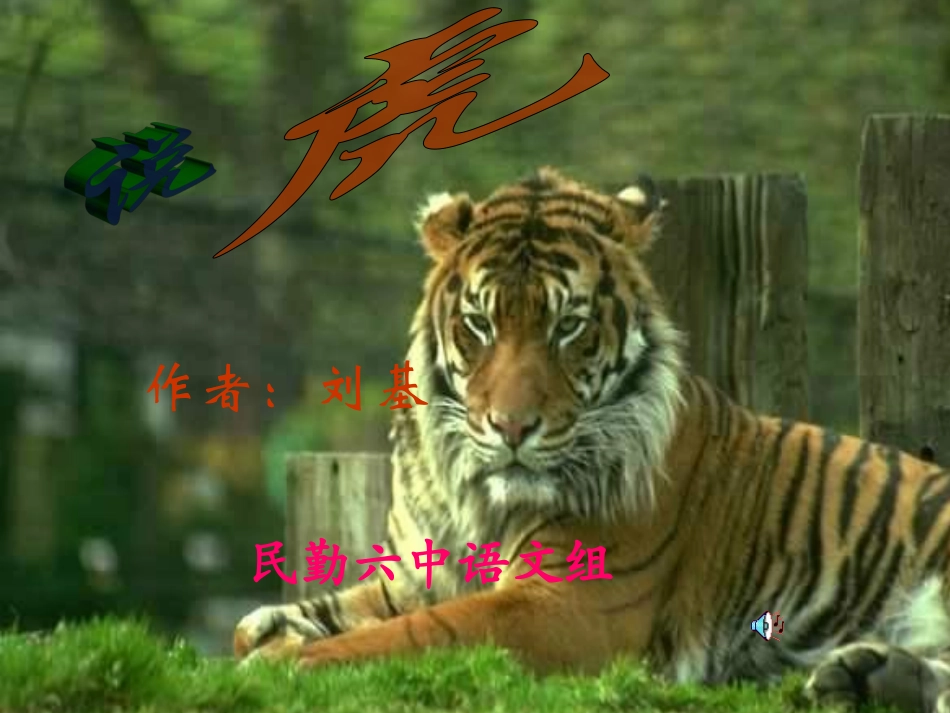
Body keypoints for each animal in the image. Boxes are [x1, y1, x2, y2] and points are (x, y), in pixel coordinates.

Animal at [234, 166, 950, 712]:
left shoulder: (565, 604)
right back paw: (862, 675)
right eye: (479, 324)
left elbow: (410, 635)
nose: (512, 427)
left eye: (568, 327)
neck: (474, 493)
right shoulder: (412, 576)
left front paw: (282, 663)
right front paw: (273, 631)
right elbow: (286, 618)